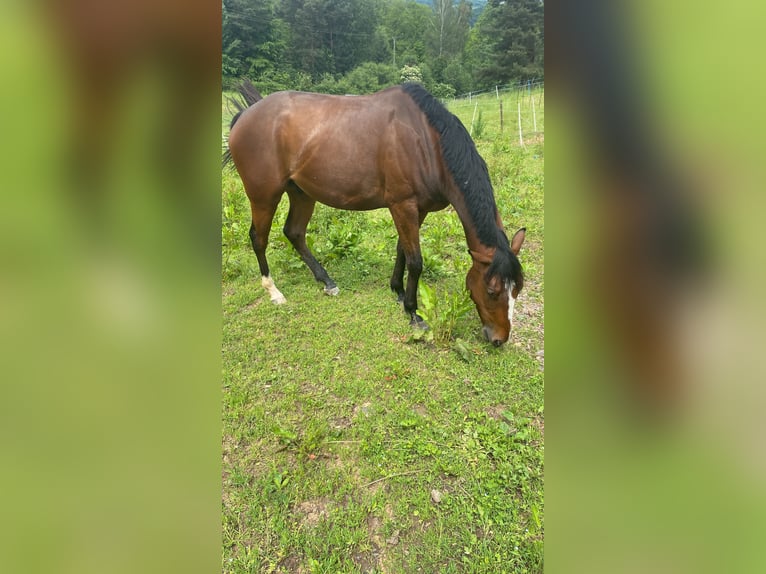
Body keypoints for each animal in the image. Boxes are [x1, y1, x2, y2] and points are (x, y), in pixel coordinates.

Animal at [224, 80, 528, 346]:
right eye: (492, 290)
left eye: (518, 289)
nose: (499, 339)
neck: (426, 142)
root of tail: (245, 115)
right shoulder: (402, 205)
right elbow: (416, 261)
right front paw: (413, 312)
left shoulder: (417, 209)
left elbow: (402, 249)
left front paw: (398, 290)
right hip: (264, 196)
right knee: (259, 238)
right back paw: (274, 291)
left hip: (301, 193)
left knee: (294, 233)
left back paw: (327, 281)